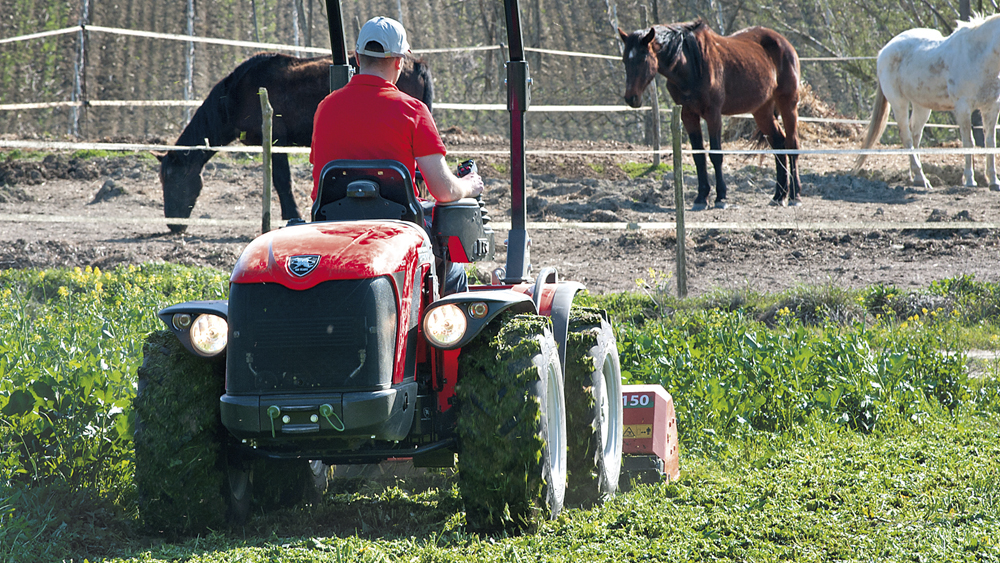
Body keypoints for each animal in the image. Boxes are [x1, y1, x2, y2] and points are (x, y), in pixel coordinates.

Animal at [157, 50, 434, 231]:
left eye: (173, 179)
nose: (173, 225)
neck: (238, 93)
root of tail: (418, 64)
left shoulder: (276, 142)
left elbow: (282, 182)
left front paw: (290, 215)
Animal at [616, 19, 804, 210]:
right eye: (624, 60)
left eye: (643, 58)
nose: (631, 98)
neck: (690, 66)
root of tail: (784, 43)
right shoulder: (688, 115)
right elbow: (698, 156)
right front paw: (701, 198)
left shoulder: (713, 115)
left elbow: (715, 154)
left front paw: (721, 197)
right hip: (761, 110)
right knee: (779, 143)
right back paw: (779, 195)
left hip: (788, 104)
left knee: (792, 144)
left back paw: (794, 196)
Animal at [852, 14, 1000, 191]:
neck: (979, 55)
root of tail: (884, 51)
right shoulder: (963, 108)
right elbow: (968, 142)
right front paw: (970, 181)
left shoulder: (991, 107)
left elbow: (990, 142)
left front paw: (994, 181)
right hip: (899, 102)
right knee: (906, 137)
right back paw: (921, 179)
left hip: (921, 106)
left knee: (915, 135)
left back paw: (915, 177)